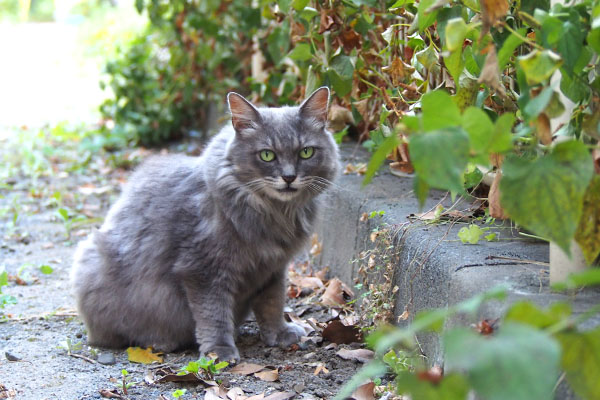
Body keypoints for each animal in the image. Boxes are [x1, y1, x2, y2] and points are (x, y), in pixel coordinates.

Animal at [69, 87, 340, 362]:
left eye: (306, 152)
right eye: (267, 155)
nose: (288, 177)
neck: (274, 212)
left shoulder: (272, 268)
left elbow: (272, 305)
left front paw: (280, 334)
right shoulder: (203, 269)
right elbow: (213, 314)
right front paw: (219, 353)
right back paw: (161, 341)